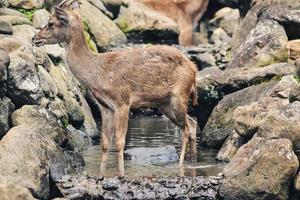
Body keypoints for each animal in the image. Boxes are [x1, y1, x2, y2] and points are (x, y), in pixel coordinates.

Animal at [32, 0, 199, 176]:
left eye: (51, 23)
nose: (34, 38)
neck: (98, 72)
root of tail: (193, 69)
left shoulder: (122, 101)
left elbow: (119, 141)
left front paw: (121, 174)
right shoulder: (105, 106)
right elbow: (105, 143)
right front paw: (101, 175)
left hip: (179, 94)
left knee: (186, 128)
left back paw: (181, 165)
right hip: (164, 103)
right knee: (191, 123)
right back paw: (192, 160)